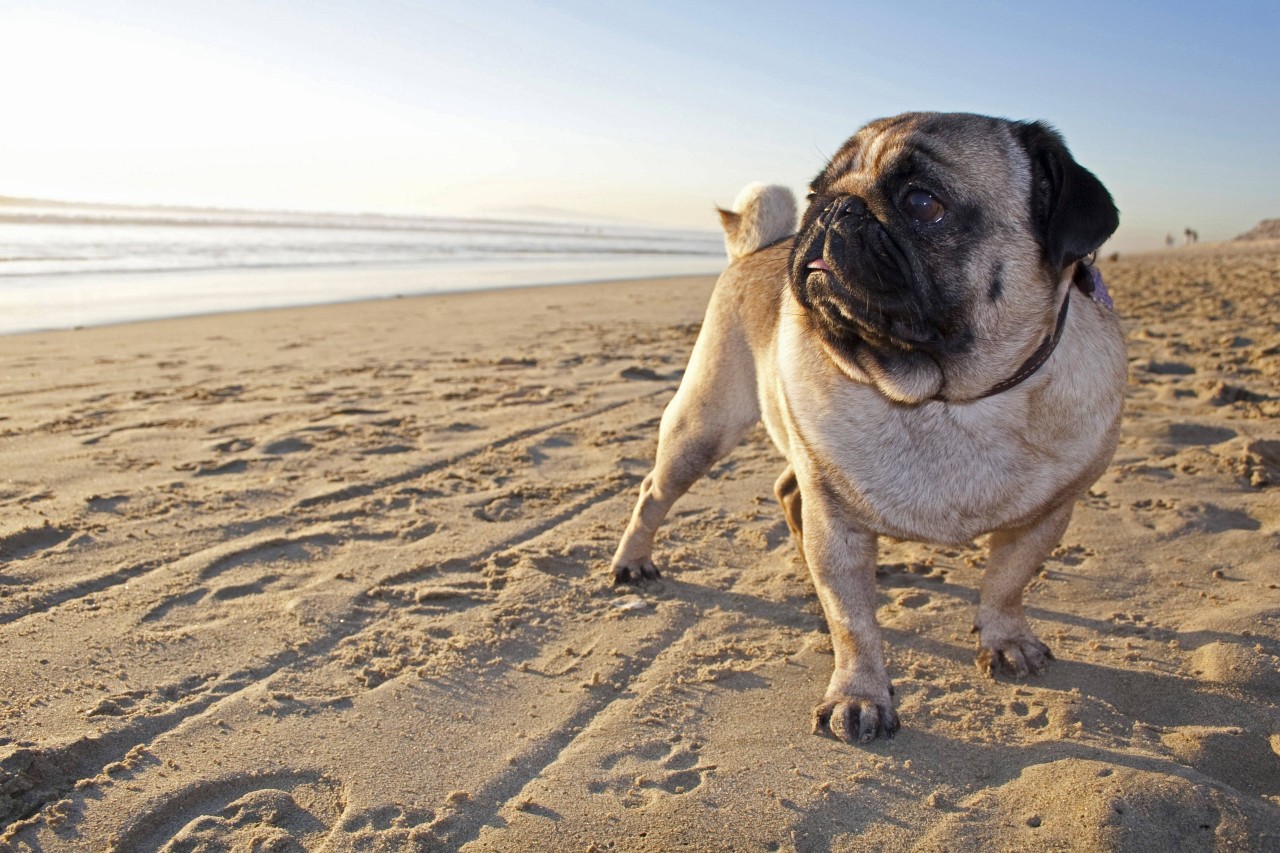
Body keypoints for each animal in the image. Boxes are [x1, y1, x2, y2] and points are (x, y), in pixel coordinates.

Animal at [609, 111, 1121, 737]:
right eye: (814, 194)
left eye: (923, 203)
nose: (835, 209)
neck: (942, 398)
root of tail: (754, 250)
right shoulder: (838, 520)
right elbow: (855, 624)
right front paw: (859, 696)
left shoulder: (1046, 517)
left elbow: (1007, 582)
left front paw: (1006, 640)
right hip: (704, 426)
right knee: (654, 490)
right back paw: (632, 561)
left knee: (787, 490)